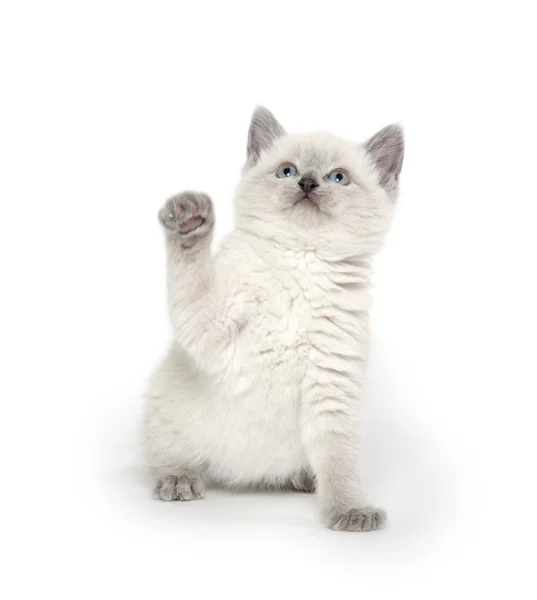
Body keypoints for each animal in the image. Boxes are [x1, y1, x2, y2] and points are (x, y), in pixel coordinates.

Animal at [142, 105, 402, 532]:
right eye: (287, 171)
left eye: (339, 178)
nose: (308, 183)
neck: (302, 261)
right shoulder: (210, 326)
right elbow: (193, 275)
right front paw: (190, 222)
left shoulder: (332, 386)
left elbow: (339, 464)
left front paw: (350, 511)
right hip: (167, 414)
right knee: (167, 456)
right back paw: (178, 479)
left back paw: (303, 480)